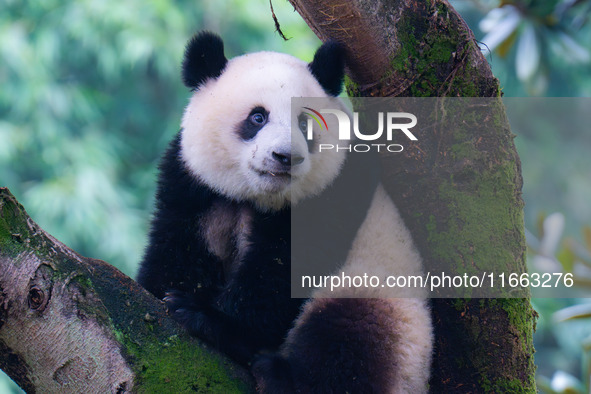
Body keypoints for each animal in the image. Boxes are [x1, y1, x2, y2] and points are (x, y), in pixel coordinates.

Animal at [139, 31, 434, 394]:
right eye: (257, 117)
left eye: (305, 123)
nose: (285, 157)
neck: (258, 196)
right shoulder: (193, 183)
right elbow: (179, 245)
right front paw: (168, 293)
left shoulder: (334, 188)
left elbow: (285, 270)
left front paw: (204, 317)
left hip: (389, 304)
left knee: (350, 335)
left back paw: (279, 374)